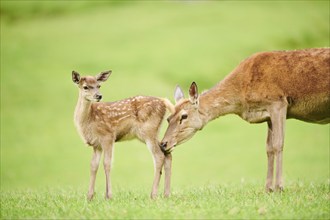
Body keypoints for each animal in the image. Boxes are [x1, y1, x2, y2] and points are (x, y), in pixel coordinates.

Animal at [72, 70, 174, 199]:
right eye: (85, 87)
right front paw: (89, 196)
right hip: (148, 133)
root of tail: (163, 101)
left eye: (99, 86)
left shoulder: (108, 136)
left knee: (159, 156)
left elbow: (107, 163)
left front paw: (108, 196)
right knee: (167, 153)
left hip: (148, 130)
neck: (89, 120)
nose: (98, 96)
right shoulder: (96, 144)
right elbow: (93, 166)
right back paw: (166, 194)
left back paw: (153, 194)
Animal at [160, 47, 330, 192]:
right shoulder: (268, 114)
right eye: (168, 118)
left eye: (184, 116)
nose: (163, 144)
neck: (242, 97)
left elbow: (278, 144)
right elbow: (268, 147)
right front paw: (267, 189)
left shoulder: (278, 102)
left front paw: (279, 187)